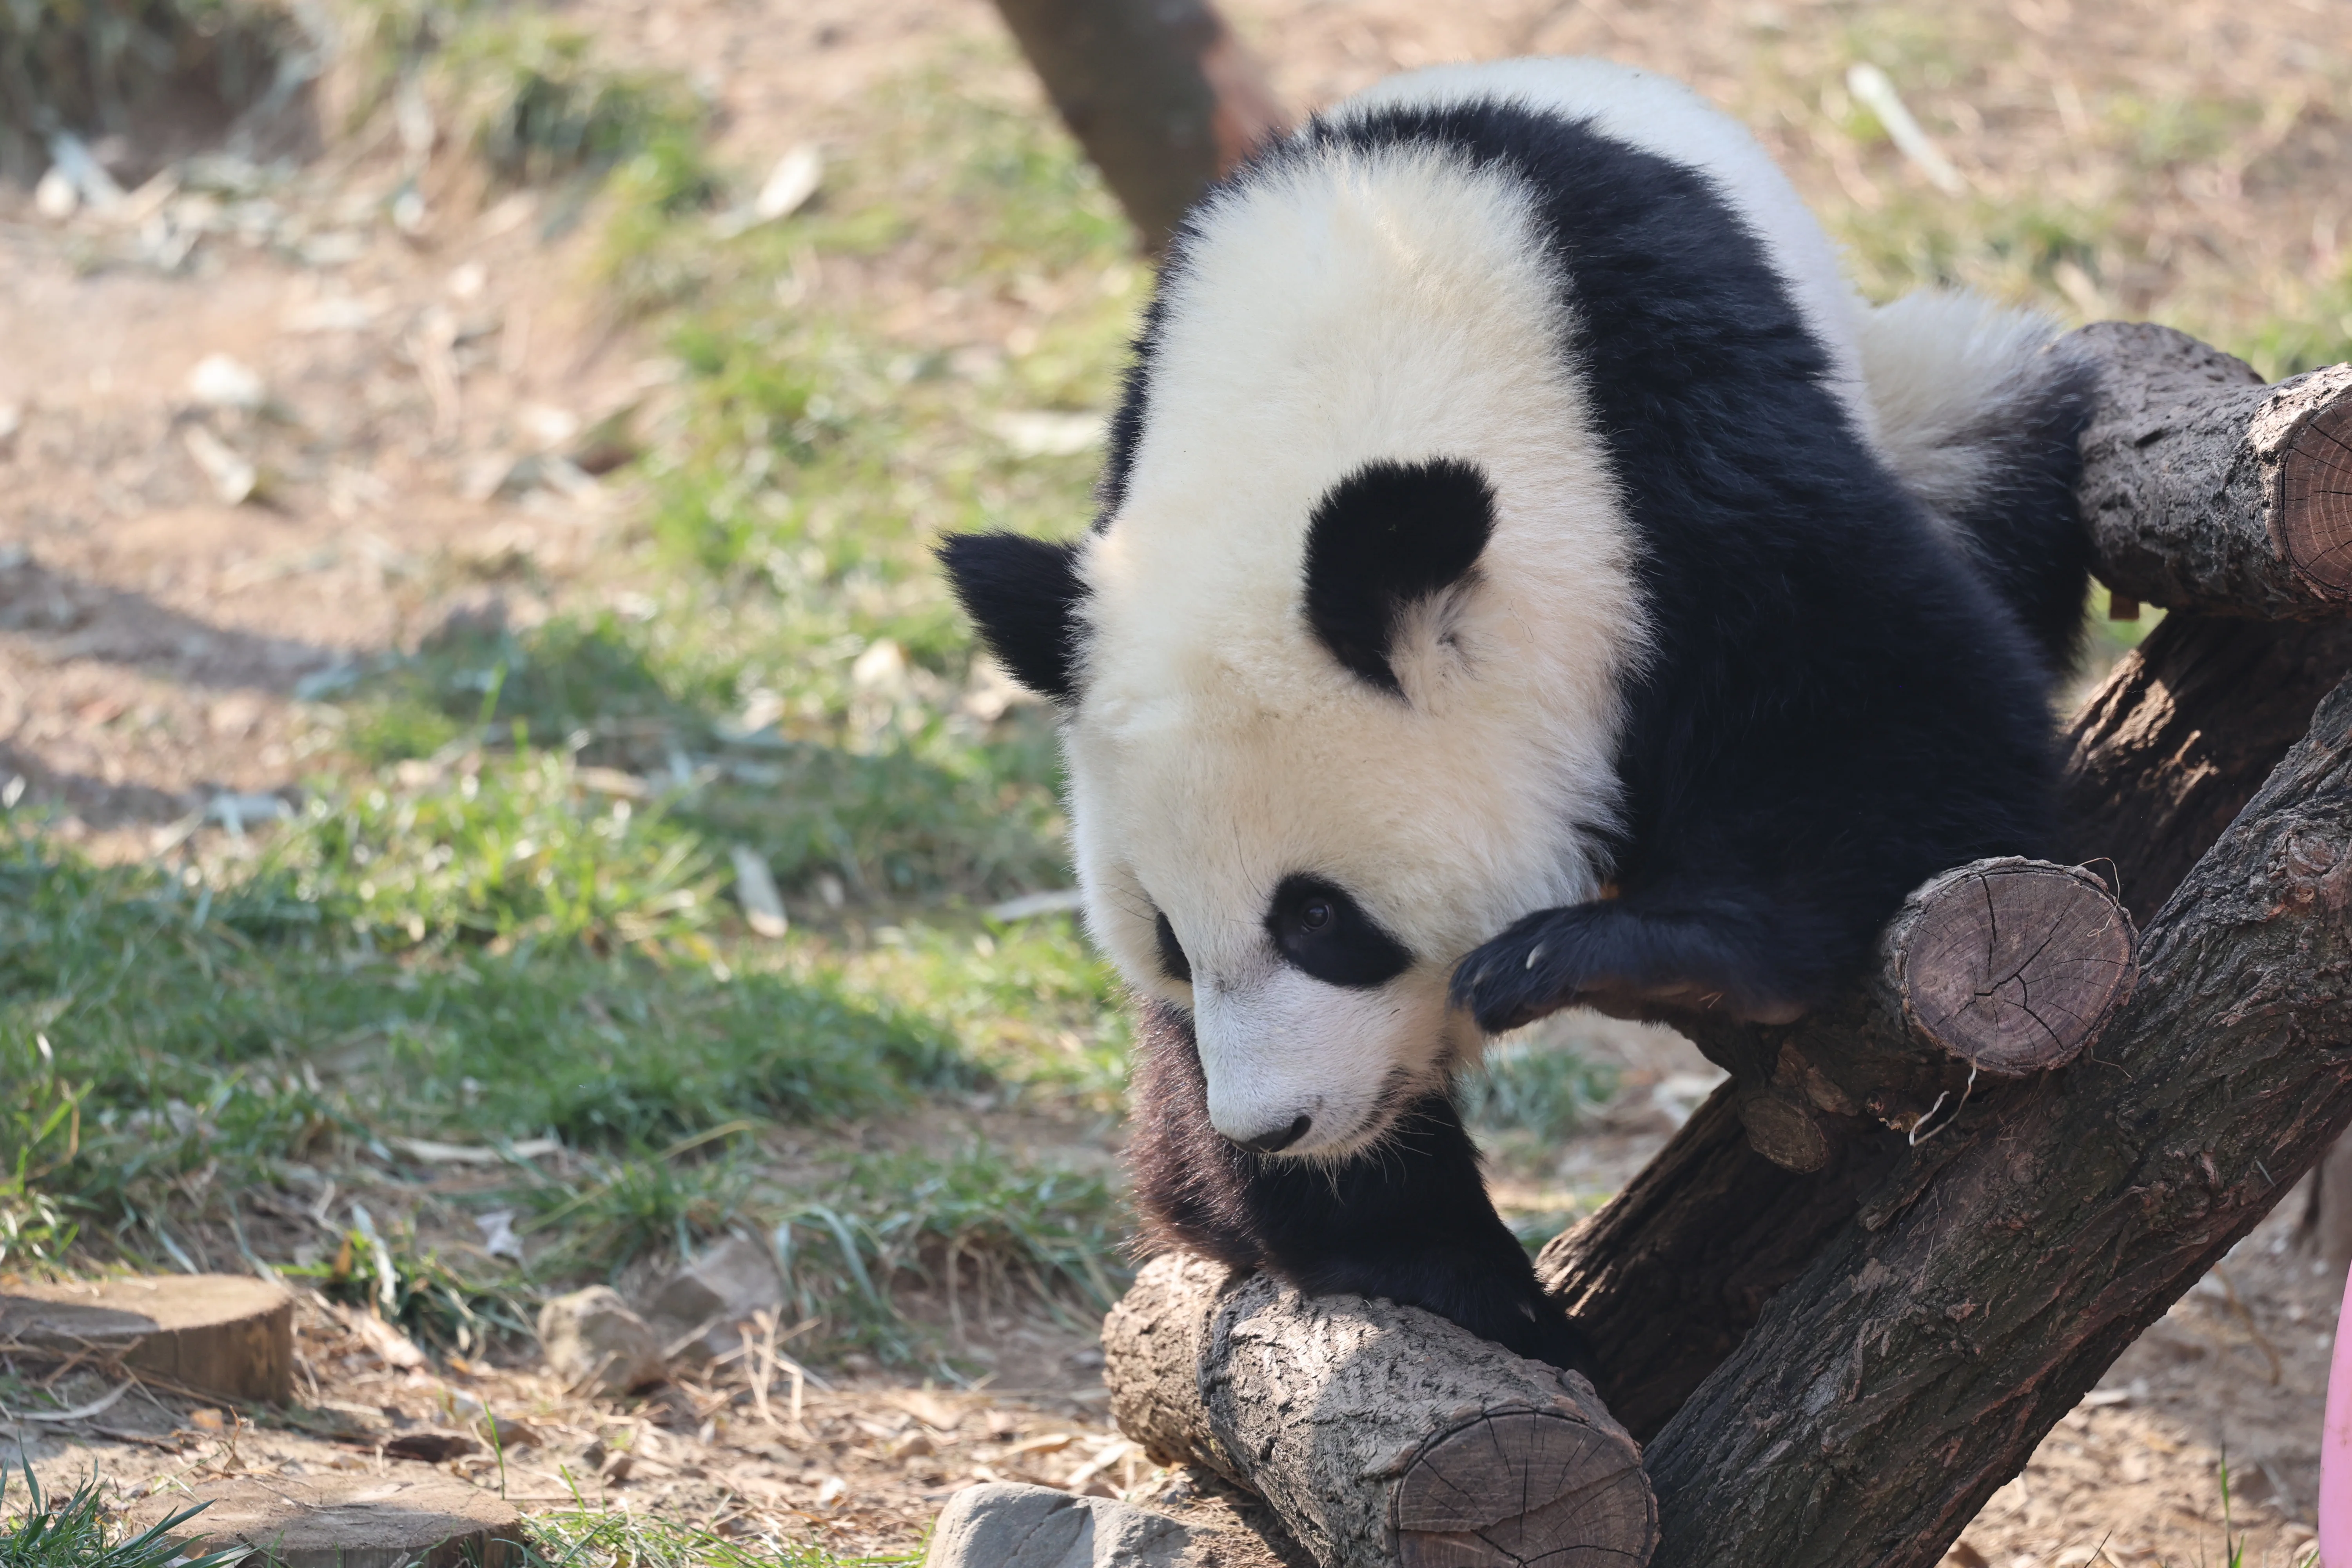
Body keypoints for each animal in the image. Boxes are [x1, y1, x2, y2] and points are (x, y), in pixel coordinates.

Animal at [939, 57, 2093, 1372]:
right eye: (1168, 939)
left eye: (1319, 917)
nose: (1275, 1123)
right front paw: (1433, 1263)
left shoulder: (1671, 441)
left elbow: (1899, 718)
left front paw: (1645, 957)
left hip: (1926, 395)